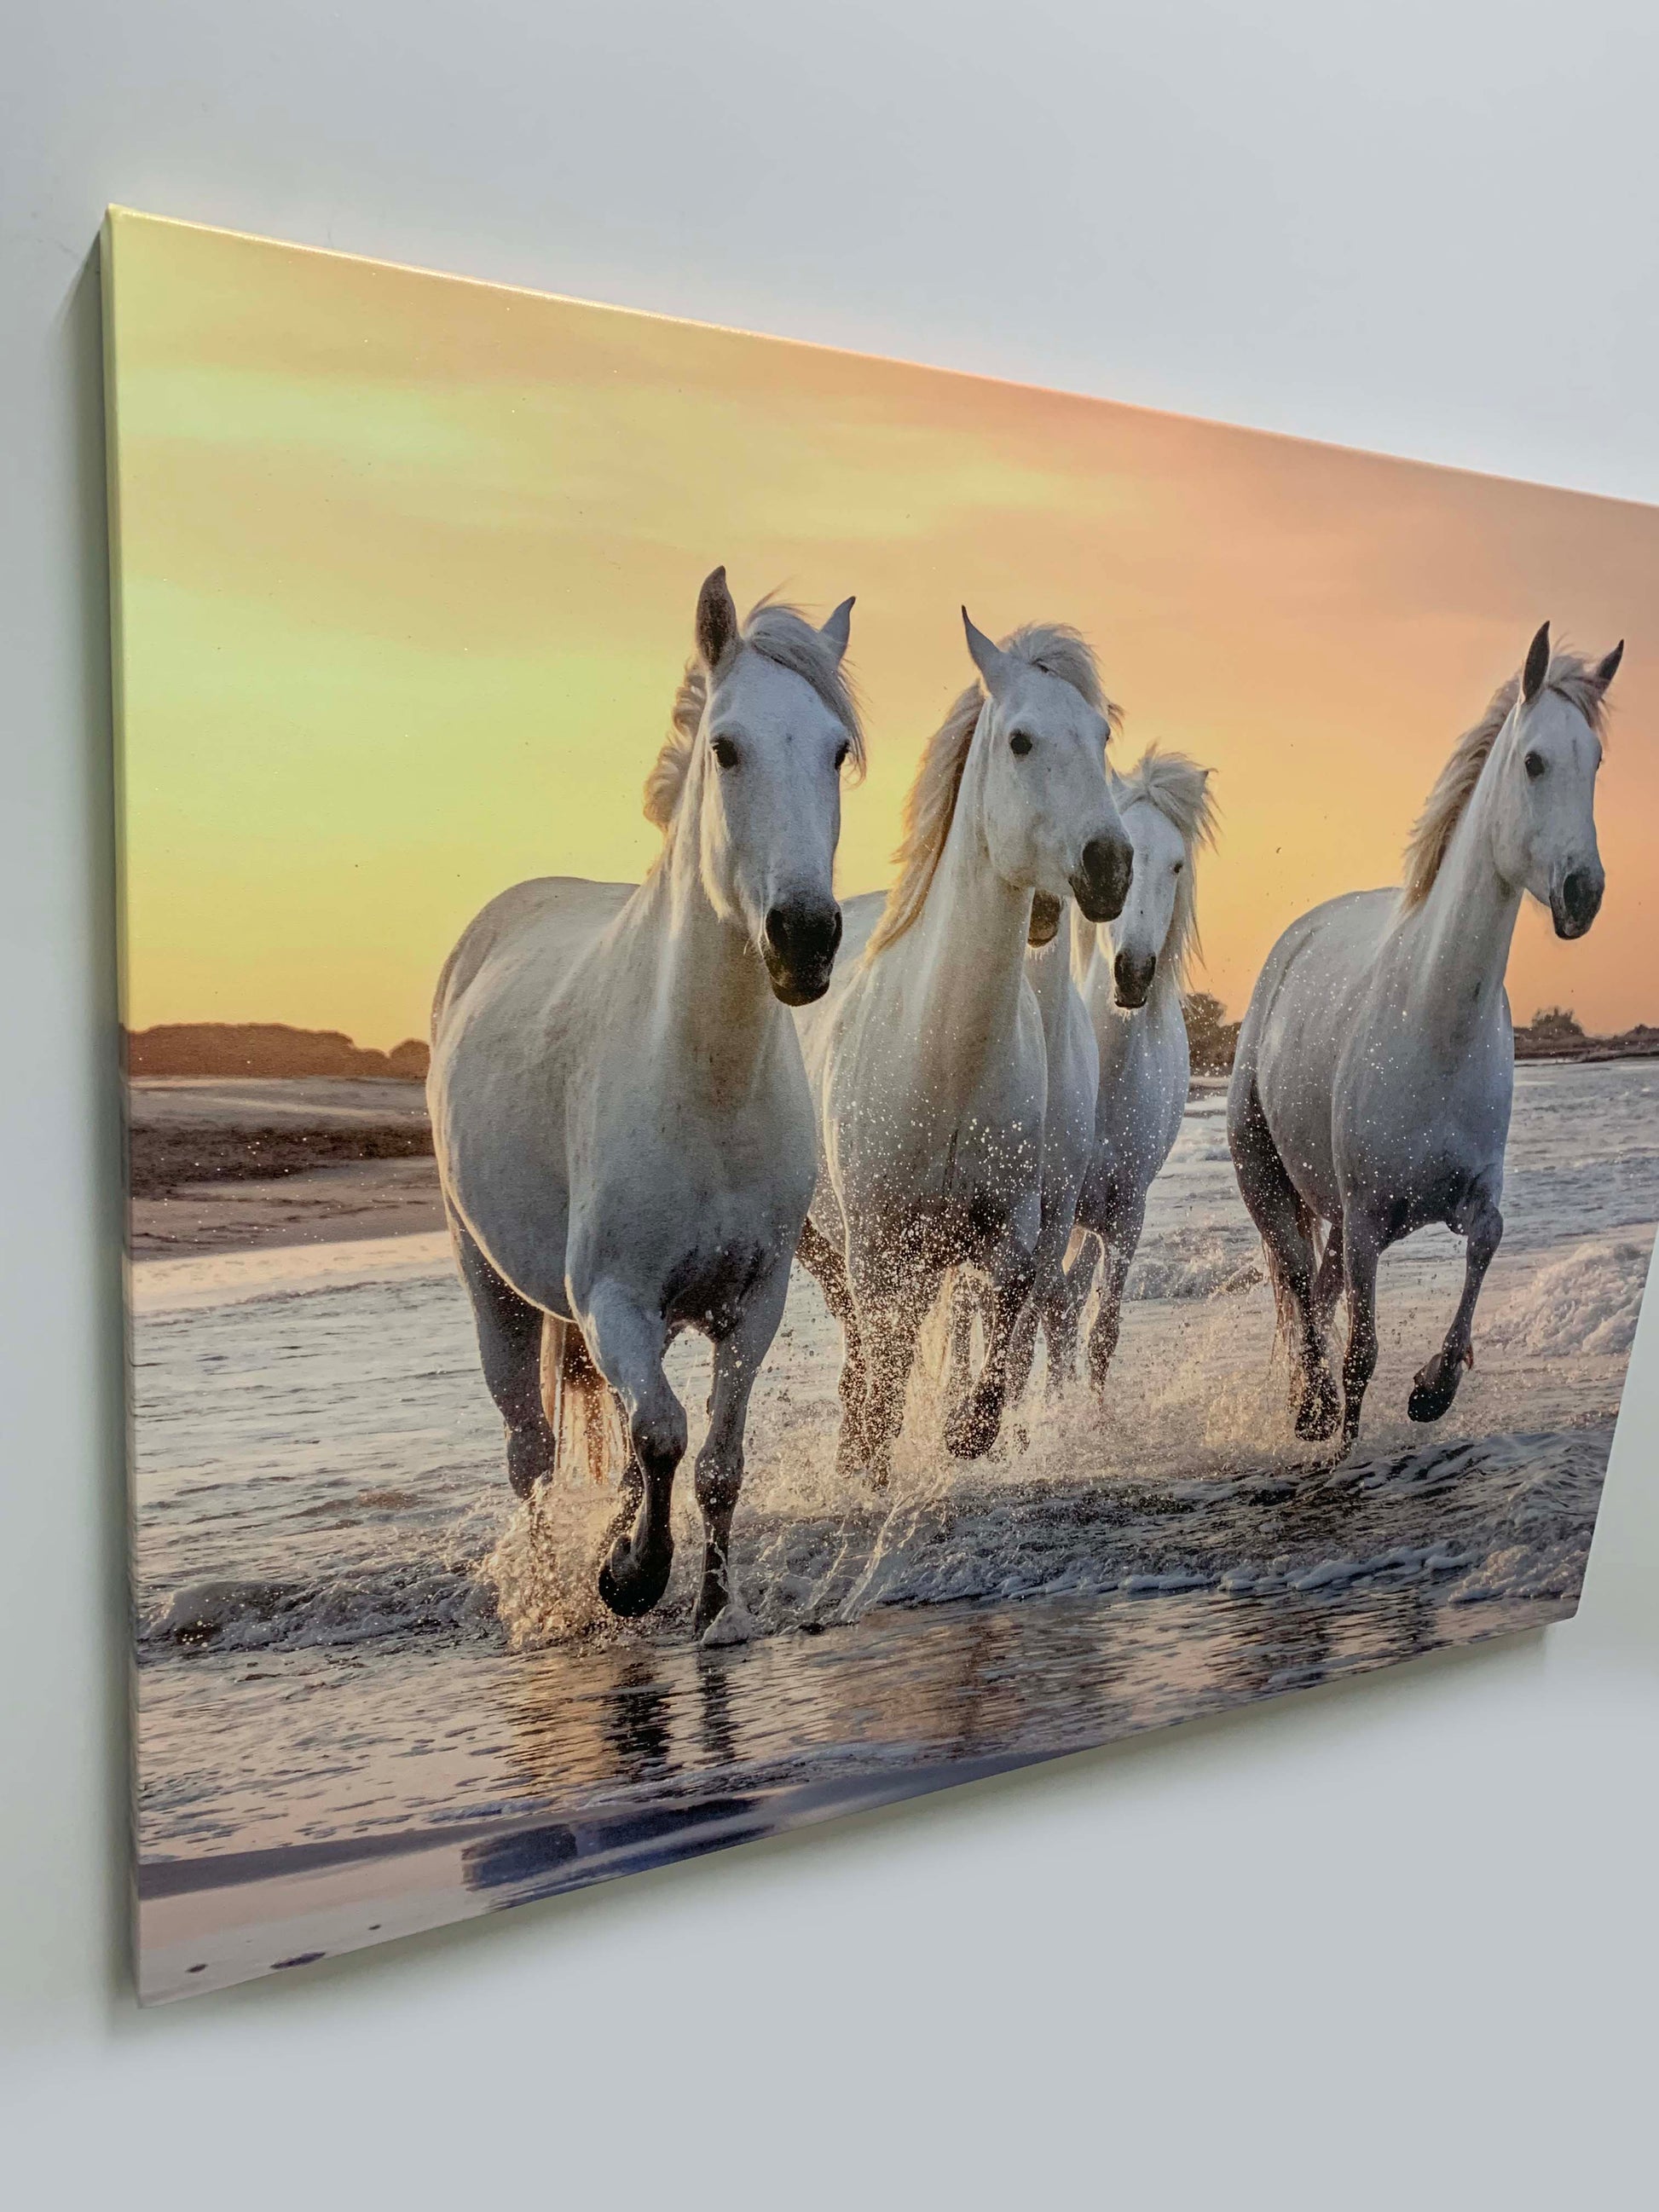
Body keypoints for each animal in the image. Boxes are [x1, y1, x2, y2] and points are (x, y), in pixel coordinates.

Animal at [429, 569, 864, 1639]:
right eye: (725, 746)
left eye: (835, 750)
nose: (804, 937)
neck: (701, 1083)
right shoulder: (613, 1299)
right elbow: (662, 1435)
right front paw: (630, 1578)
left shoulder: (751, 1301)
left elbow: (714, 1462)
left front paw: (706, 1608)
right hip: (494, 1288)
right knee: (532, 1456)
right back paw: (554, 1596)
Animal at [794, 614, 1134, 1487]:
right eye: (1019, 740)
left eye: (1101, 735)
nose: (1111, 866)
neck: (942, 1055)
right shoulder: (875, 1248)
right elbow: (884, 1383)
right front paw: (875, 1469)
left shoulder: (1010, 1230)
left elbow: (997, 1353)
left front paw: (965, 1436)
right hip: (829, 1247)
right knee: (865, 1355)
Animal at [1228, 623, 1620, 1457]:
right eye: (1534, 761)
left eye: (1596, 762)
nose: (1583, 894)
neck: (1434, 1024)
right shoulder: (1367, 1221)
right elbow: (1360, 1355)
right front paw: (1344, 1440)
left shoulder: (1467, 1194)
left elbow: (1488, 1240)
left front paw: (1433, 1388)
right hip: (1270, 1183)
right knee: (1299, 1287)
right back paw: (1308, 1409)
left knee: (1315, 1291)